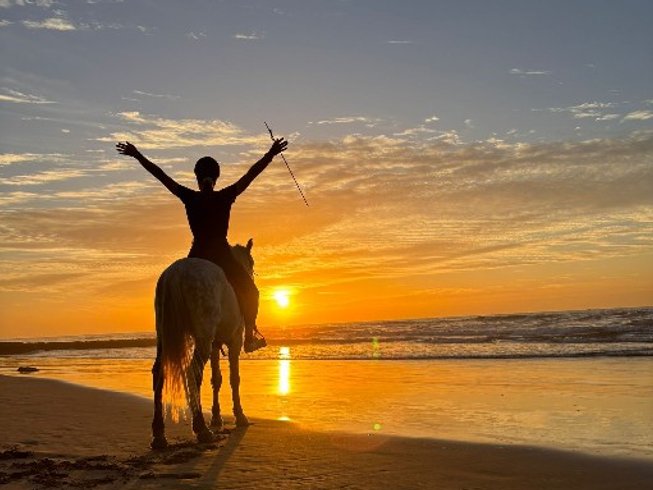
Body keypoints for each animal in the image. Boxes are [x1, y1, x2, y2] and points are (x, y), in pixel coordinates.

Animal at [150, 239, 255, 449]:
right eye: (252, 262)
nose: (252, 274)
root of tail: (175, 273)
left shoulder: (215, 344)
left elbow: (217, 379)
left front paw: (216, 417)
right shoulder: (235, 340)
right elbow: (234, 378)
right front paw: (240, 416)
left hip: (164, 336)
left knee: (159, 372)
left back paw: (159, 434)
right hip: (203, 338)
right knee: (193, 371)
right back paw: (201, 429)